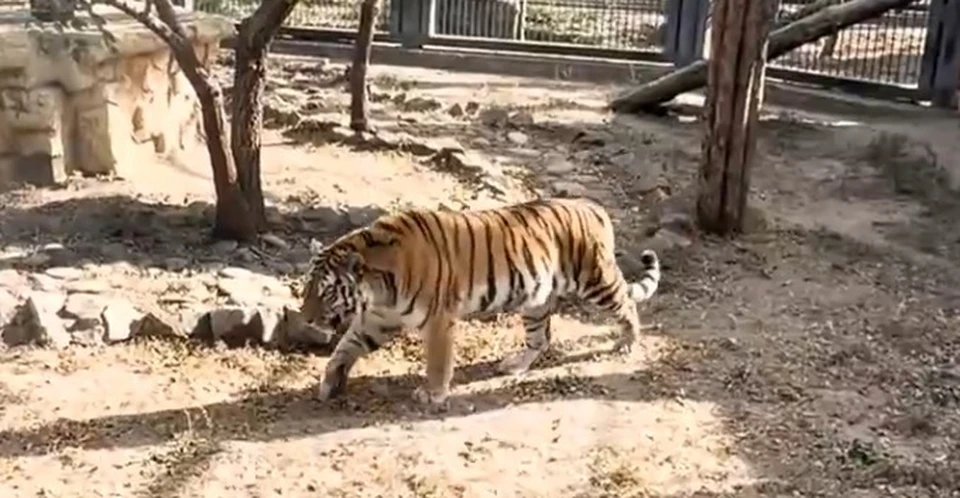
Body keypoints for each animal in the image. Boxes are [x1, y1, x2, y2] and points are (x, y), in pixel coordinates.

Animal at [296, 196, 664, 406]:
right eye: (305, 289)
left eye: (326, 291)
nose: (306, 319)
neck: (379, 289)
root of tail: (594, 207)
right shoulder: (378, 319)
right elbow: (345, 347)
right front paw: (330, 383)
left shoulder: (438, 320)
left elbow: (438, 361)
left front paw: (432, 394)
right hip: (536, 299)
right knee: (541, 337)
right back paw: (515, 365)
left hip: (595, 279)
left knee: (627, 304)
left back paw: (628, 342)